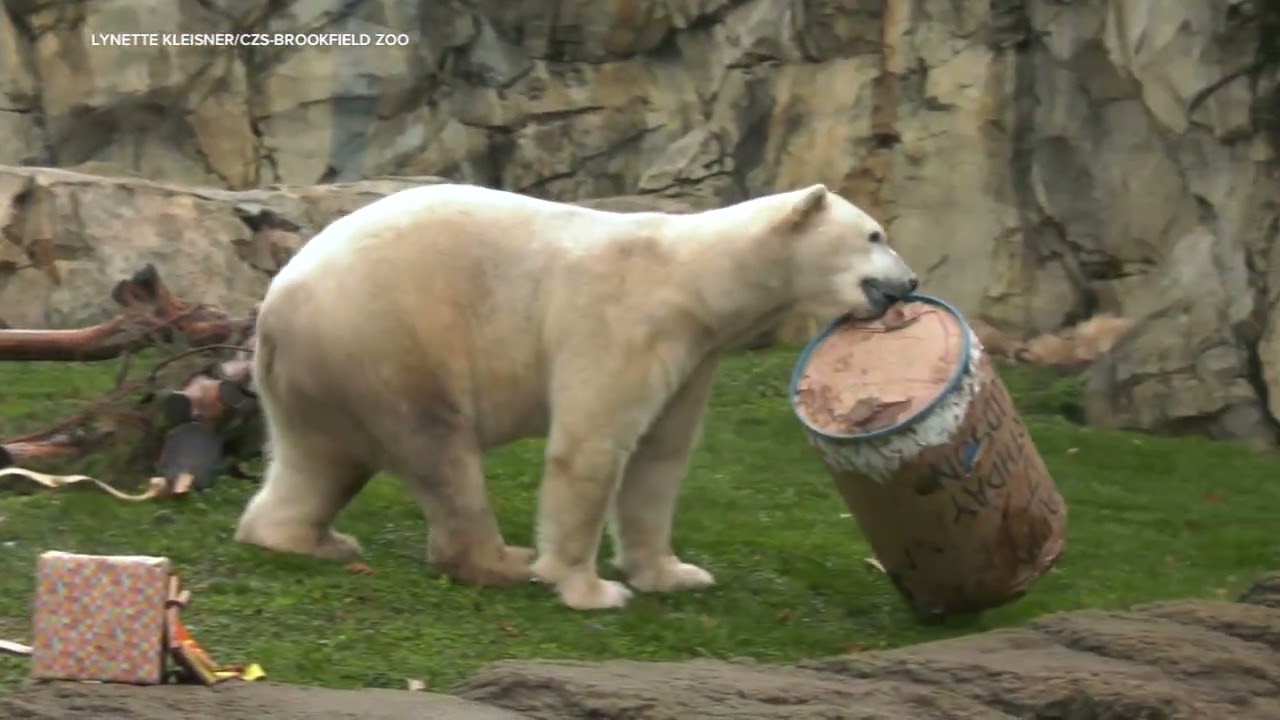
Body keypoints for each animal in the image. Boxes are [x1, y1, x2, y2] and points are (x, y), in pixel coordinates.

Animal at [234, 182, 918, 611]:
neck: (698, 281)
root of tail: (275, 307)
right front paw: (588, 589)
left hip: (330, 370)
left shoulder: (693, 357)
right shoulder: (623, 320)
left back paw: (302, 537)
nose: (910, 281)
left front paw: (675, 574)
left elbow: (660, 459)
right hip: (392, 340)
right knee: (440, 451)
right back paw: (502, 562)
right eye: (874, 234)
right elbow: (593, 446)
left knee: (320, 459)